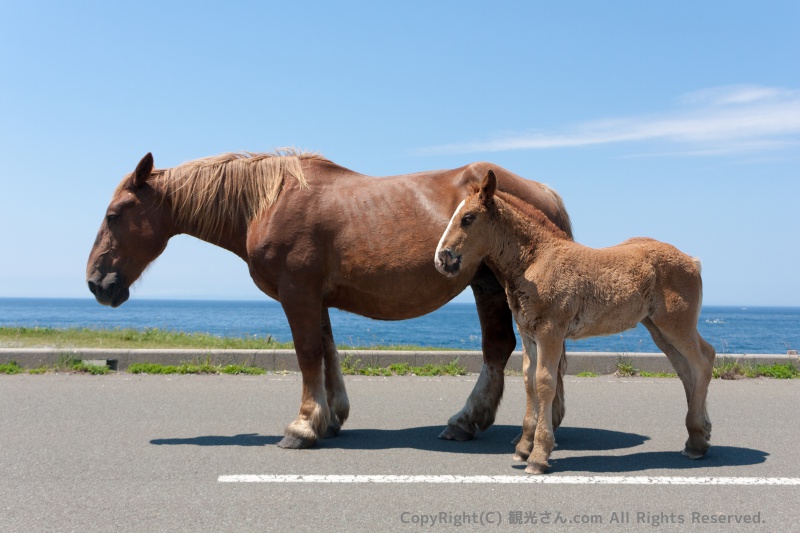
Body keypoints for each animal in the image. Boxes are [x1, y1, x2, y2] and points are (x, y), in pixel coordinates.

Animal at [86, 151, 574, 449]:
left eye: (114, 214)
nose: (96, 282)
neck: (267, 203)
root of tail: (543, 190)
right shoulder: (314, 297)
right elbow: (327, 352)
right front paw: (331, 415)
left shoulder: (296, 292)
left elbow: (307, 354)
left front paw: (303, 425)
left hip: (490, 286)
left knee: (500, 349)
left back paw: (468, 420)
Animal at [435, 169, 715, 474]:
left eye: (468, 218)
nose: (442, 259)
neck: (535, 260)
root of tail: (692, 261)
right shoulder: (528, 333)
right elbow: (528, 380)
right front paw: (523, 448)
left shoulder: (551, 331)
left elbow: (545, 382)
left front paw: (539, 456)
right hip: (658, 328)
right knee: (686, 368)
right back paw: (698, 438)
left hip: (676, 324)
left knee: (702, 361)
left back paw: (697, 441)